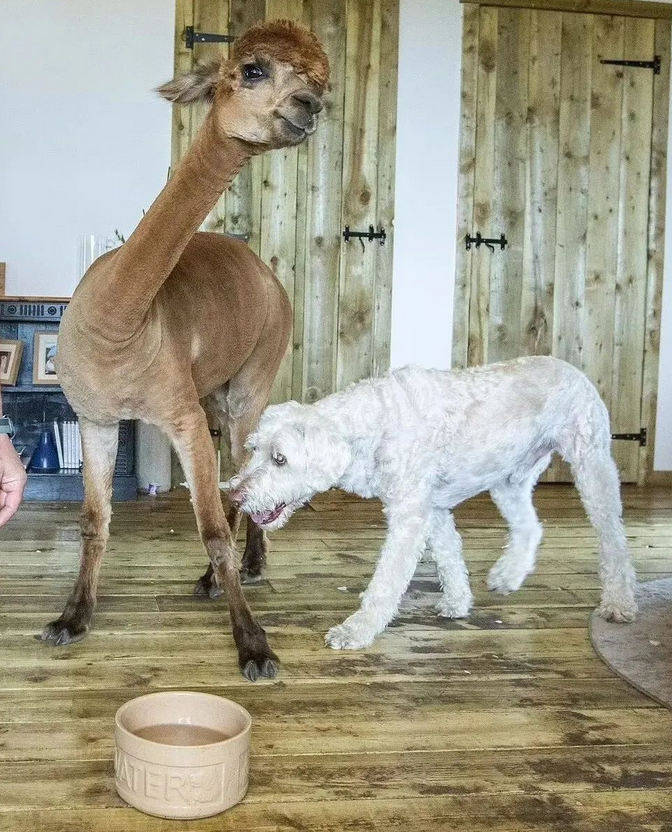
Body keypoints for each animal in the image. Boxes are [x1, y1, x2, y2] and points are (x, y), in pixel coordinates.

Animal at [228, 358, 636, 648]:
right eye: (253, 450)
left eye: (280, 459)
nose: (234, 495)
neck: (371, 428)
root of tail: (572, 368)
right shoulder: (433, 509)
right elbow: (449, 558)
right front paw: (457, 602)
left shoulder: (409, 514)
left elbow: (387, 581)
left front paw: (356, 630)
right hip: (509, 481)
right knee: (530, 527)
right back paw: (507, 575)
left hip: (592, 467)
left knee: (614, 540)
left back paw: (619, 603)